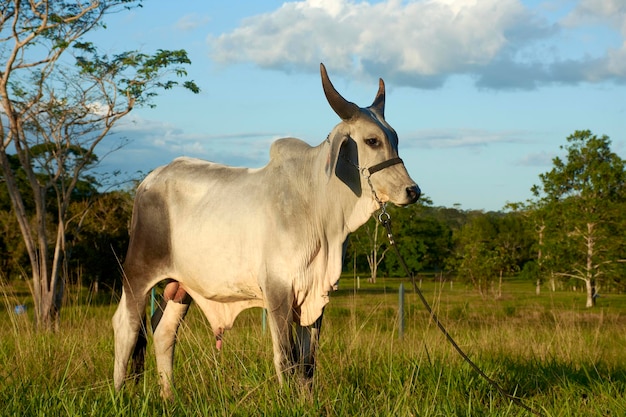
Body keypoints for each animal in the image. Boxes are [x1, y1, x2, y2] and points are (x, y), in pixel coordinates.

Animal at [113, 63, 420, 398]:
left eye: (395, 138)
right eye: (372, 141)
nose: (412, 191)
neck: (316, 205)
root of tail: (149, 180)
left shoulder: (315, 296)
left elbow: (308, 362)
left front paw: (307, 402)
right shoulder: (278, 290)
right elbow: (285, 357)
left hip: (180, 286)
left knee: (163, 331)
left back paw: (168, 397)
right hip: (138, 273)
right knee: (126, 328)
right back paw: (119, 395)